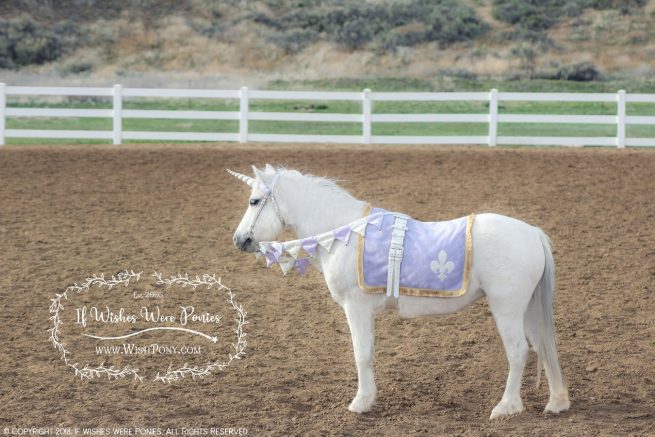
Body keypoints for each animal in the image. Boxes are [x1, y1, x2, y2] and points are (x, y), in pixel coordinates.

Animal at [229, 164, 570, 419]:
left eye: (254, 201)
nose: (239, 240)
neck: (345, 233)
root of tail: (533, 233)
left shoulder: (356, 308)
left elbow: (362, 354)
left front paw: (362, 402)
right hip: (526, 310)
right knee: (541, 346)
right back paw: (556, 402)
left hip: (507, 309)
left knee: (518, 351)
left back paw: (506, 407)